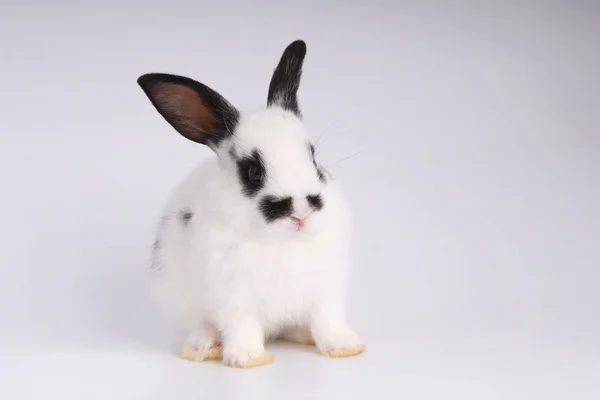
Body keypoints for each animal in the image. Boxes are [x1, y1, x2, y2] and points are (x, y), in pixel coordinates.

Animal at [137, 39, 366, 368]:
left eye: (313, 158)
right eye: (253, 172)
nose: (300, 211)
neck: (283, 242)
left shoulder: (325, 288)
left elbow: (327, 320)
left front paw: (344, 347)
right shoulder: (233, 294)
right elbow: (241, 324)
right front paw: (248, 359)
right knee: (200, 326)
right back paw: (203, 347)